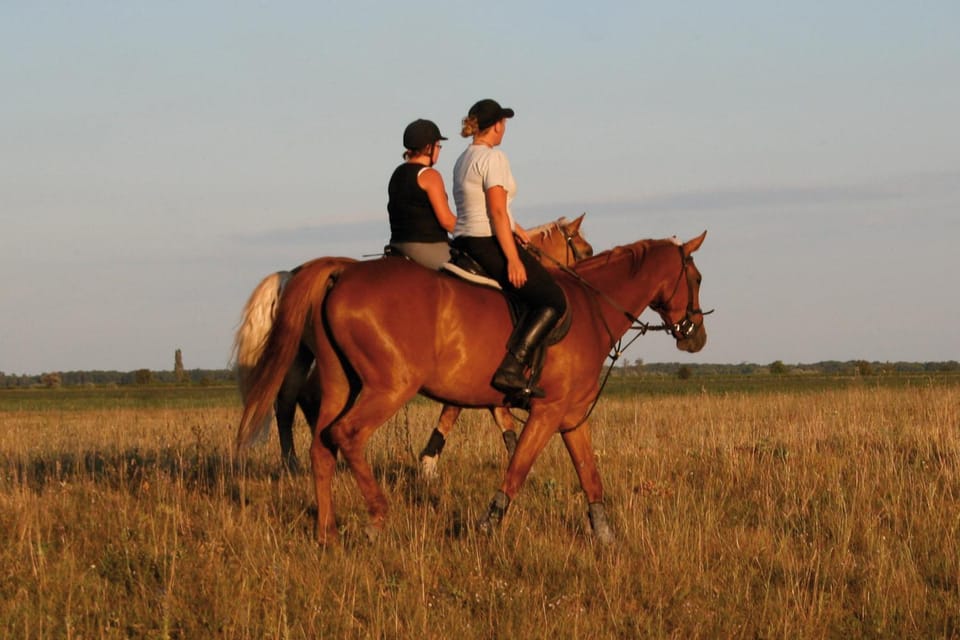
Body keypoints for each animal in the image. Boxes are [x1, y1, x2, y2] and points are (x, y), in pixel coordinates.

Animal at [231, 215, 592, 473]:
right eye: (586, 250)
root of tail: (293, 274)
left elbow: (492, 412)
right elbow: (456, 410)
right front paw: (429, 461)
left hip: (305, 355)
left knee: (291, 401)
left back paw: (298, 461)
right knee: (303, 399)